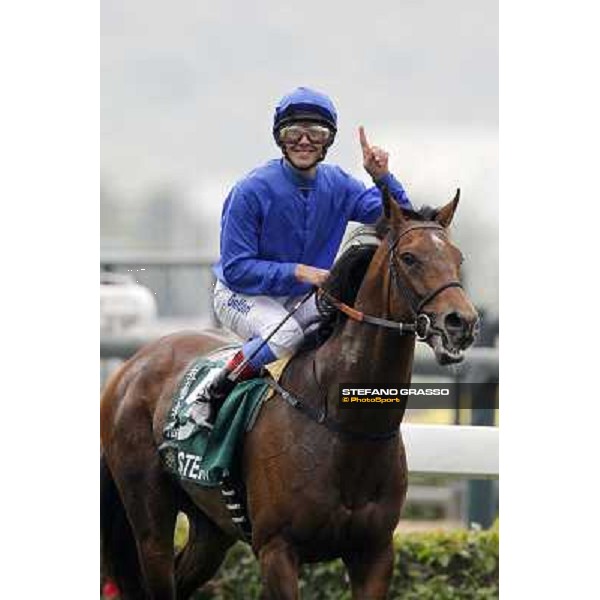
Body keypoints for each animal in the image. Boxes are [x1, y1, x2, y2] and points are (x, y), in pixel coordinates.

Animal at [101, 189, 480, 600]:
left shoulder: (375, 553)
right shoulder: (277, 550)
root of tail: (133, 365)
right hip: (149, 517)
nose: (461, 323)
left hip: (211, 528)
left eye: (458, 257)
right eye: (409, 257)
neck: (344, 425)